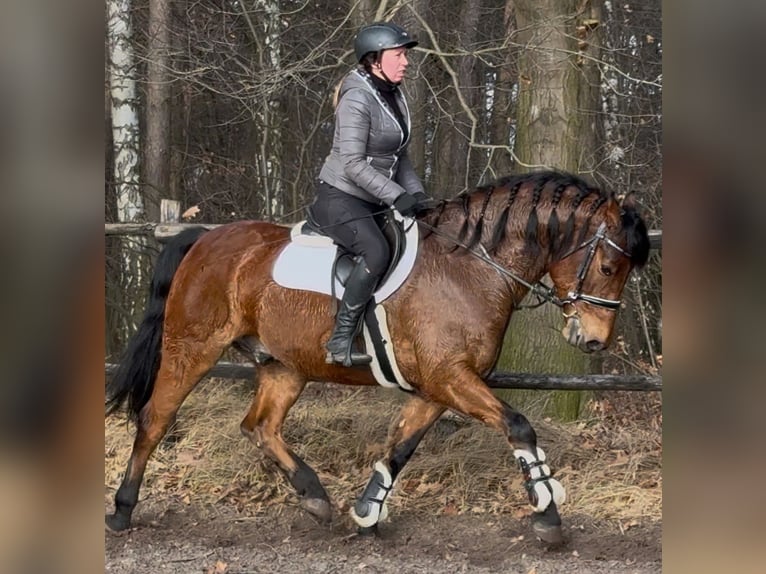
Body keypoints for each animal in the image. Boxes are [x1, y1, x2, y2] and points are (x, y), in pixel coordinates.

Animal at [105, 170, 652, 544]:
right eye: (608, 266)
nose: (593, 341)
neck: (471, 269)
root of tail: (205, 238)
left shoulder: (438, 387)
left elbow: (401, 447)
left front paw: (367, 511)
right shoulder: (452, 377)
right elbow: (519, 426)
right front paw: (547, 511)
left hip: (285, 366)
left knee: (260, 426)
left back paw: (314, 496)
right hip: (192, 348)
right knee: (155, 419)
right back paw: (122, 511)